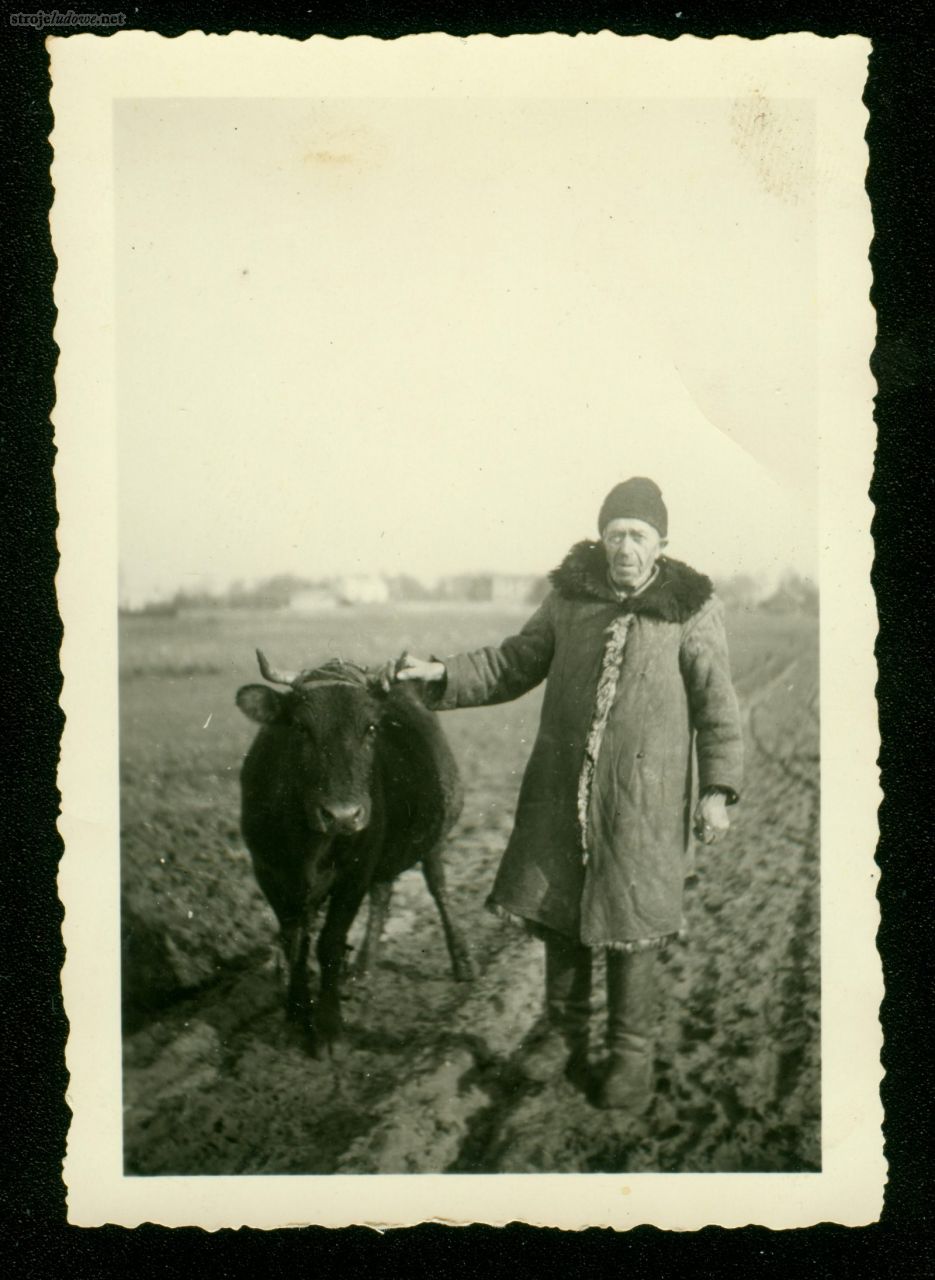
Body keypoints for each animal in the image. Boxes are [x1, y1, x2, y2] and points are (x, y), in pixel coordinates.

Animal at [233, 645, 473, 1054]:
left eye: (371, 728)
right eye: (301, 727)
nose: (343, 815)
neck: (309, 841)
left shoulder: (355, 870)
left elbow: (329, 943)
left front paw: (329, 1027)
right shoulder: (269, 872)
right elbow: (294, 943)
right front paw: (294, 1016)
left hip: (431, 836)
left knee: (438, 888)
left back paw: (460, 962)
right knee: (383, 894)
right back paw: (362, 970)